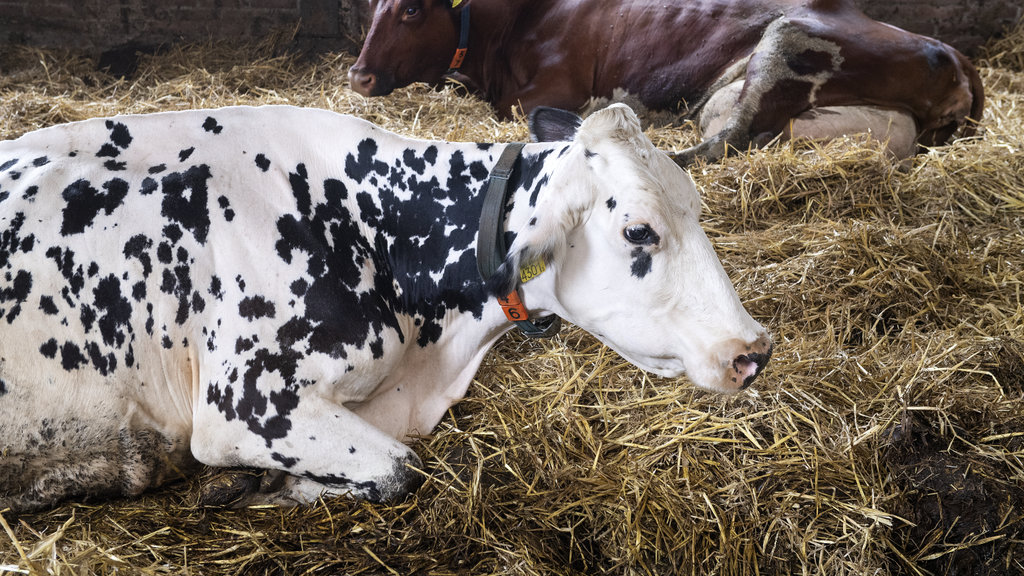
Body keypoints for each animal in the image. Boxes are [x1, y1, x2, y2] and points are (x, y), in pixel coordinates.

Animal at [0, 104, 771, 513]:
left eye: (697, 207)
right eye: (639, 230)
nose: (754, 351)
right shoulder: (245, 404)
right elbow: (400, 467)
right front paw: (272, 484)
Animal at [348, 0, 985, 163]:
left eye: (410, 9)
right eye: (373, 3)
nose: (357, 74)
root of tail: (953, 53)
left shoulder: (549, 87)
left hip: (789, 37)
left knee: (721, 141)